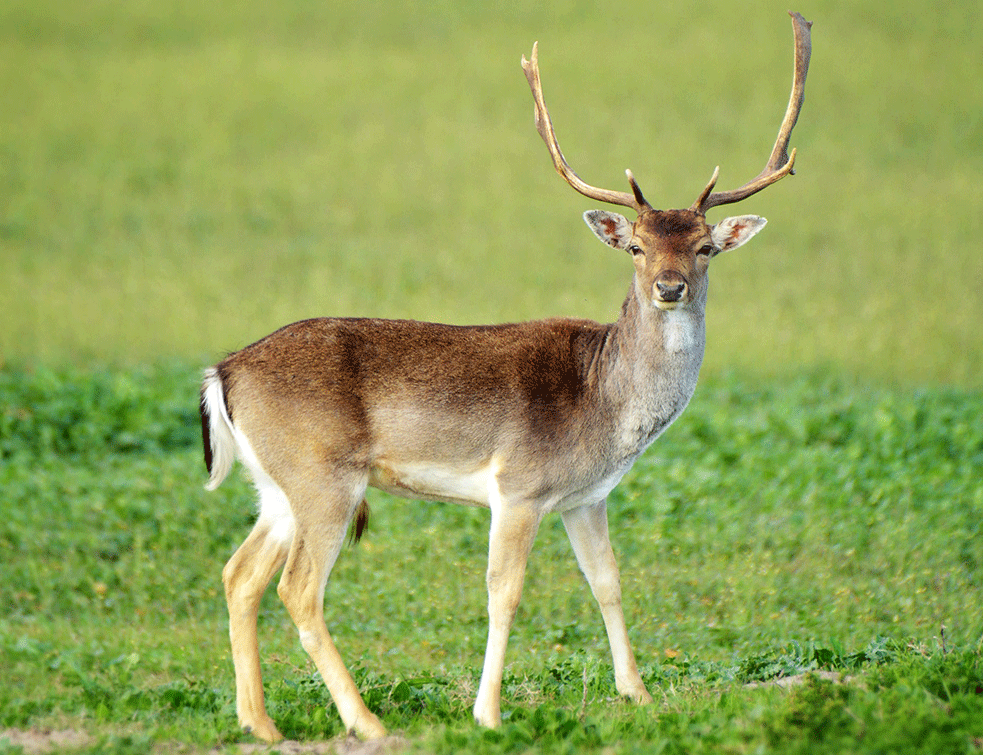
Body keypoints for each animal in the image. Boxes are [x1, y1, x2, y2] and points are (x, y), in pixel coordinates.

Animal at [200, 11, 816, 740]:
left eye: (704, 247)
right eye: (637, 247)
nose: (669, 287)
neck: (605, 407)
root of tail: (223, 371)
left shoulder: (586, 497)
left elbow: (608, 582)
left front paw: (636, 694)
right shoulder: (519, 486)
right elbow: (505, 593)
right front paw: (488, 713)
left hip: (275, 485)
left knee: (239, 573)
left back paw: (260, 724)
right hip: (323, 475)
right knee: (298, 588)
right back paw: (367, 722)